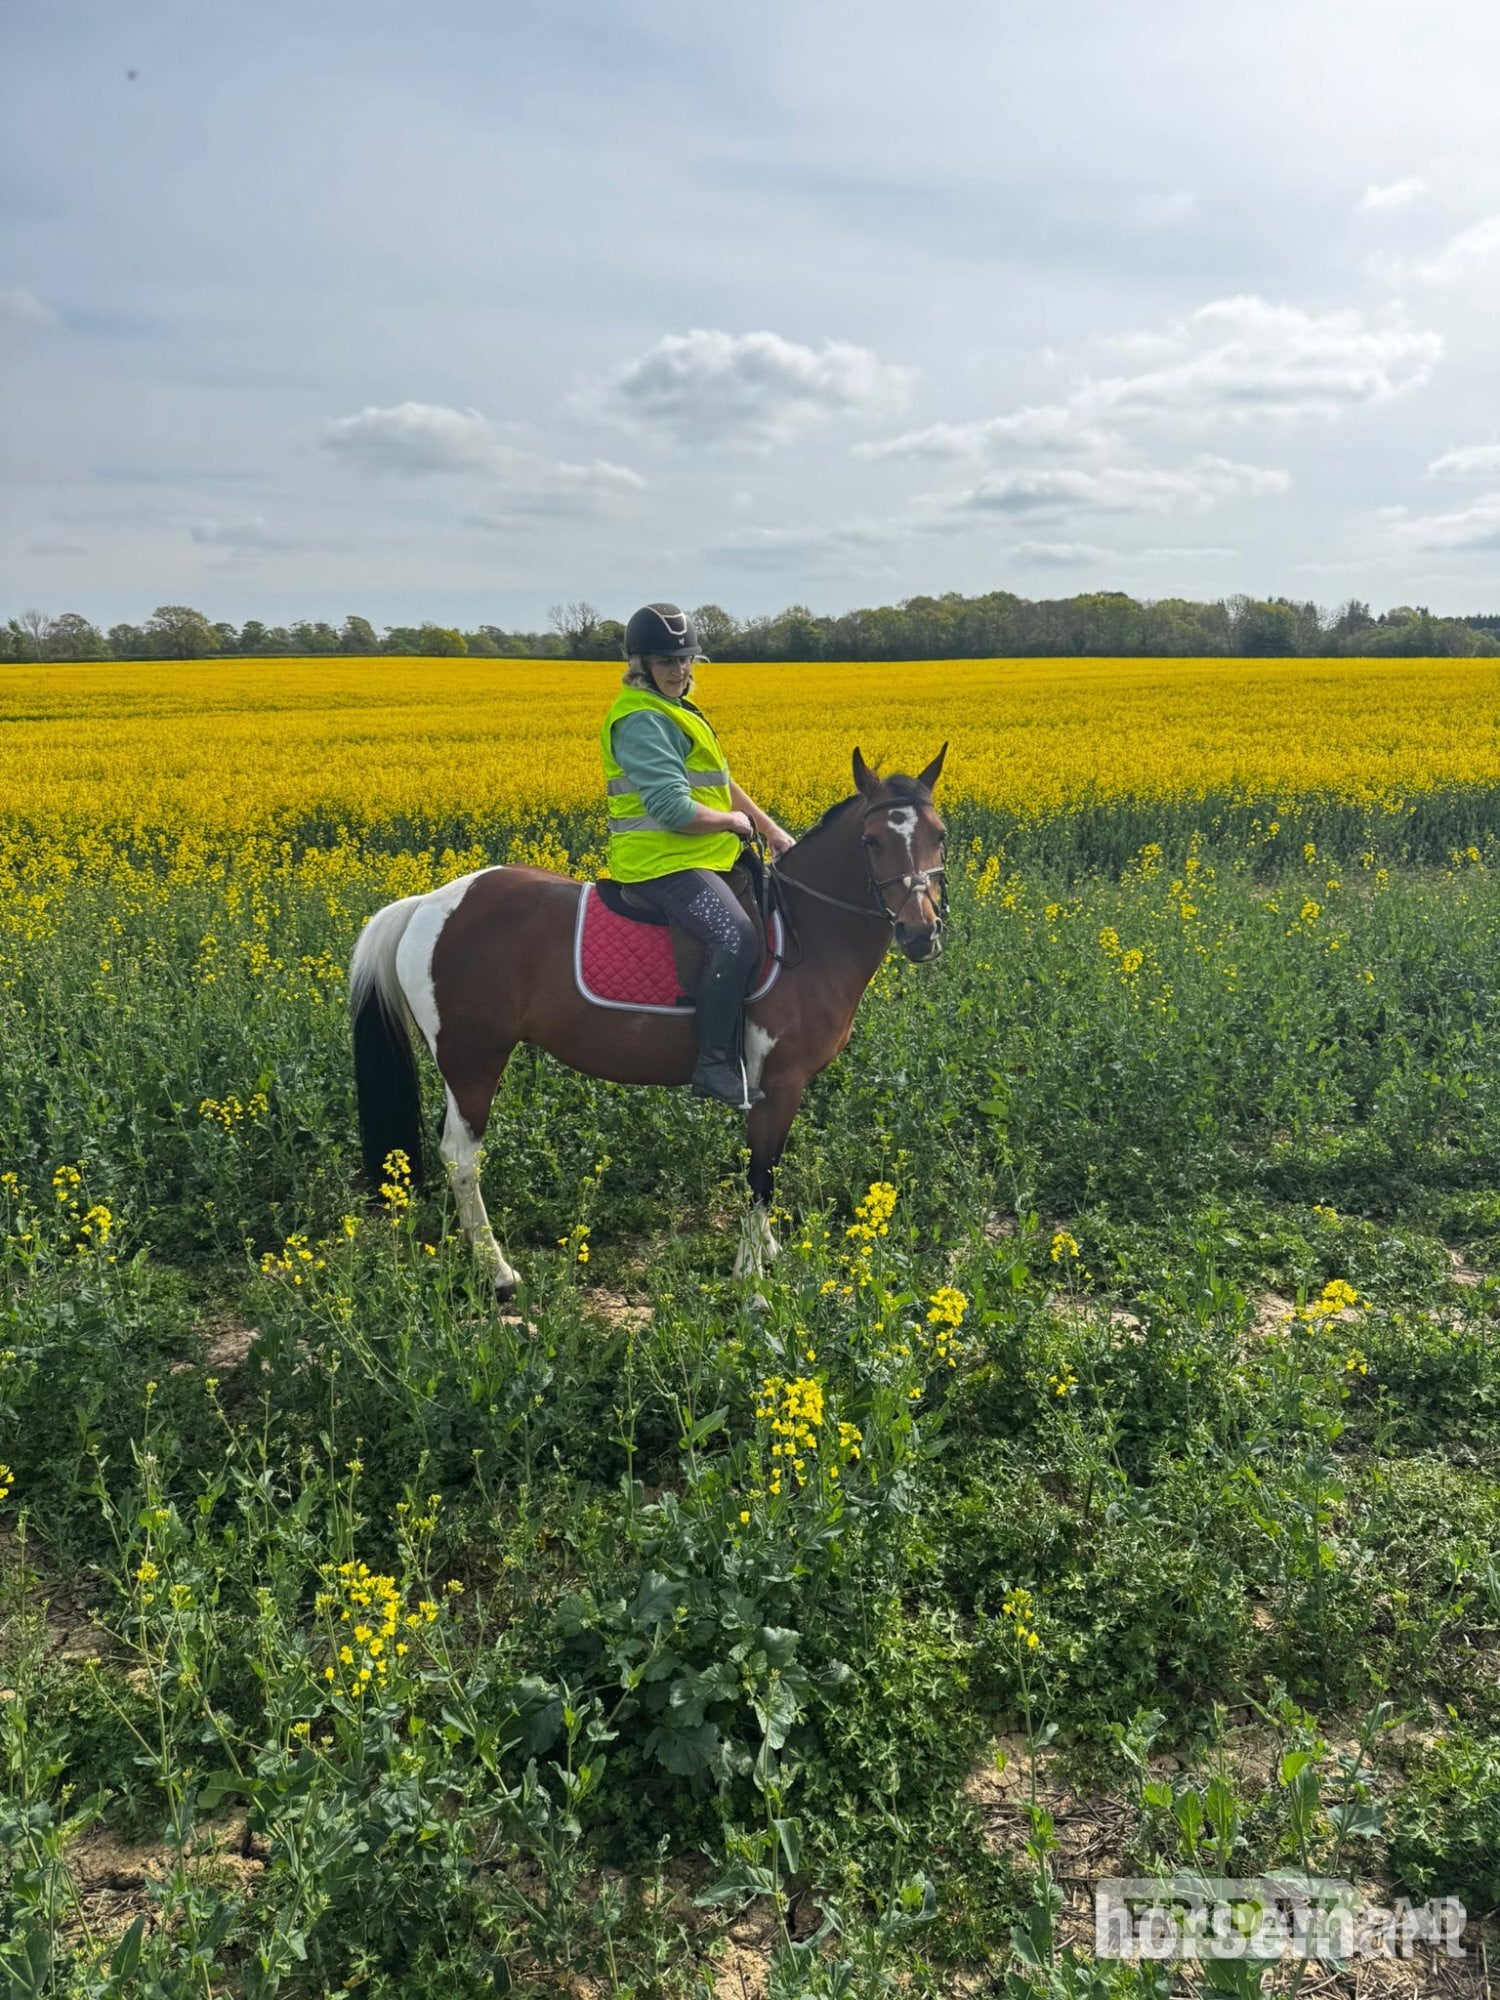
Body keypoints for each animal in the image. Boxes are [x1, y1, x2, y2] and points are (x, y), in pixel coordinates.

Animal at [348, 745, 948, 1297]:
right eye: (871, 841)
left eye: (939, 835)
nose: (921, 933)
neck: (807, 929)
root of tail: (428, 903)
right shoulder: (779, 1082)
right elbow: (761, 1173)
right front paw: (751, 1276)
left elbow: (765, 1168)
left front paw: (767, 1249)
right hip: (474, 1059)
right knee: (460, 1158)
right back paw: (499, 1273)